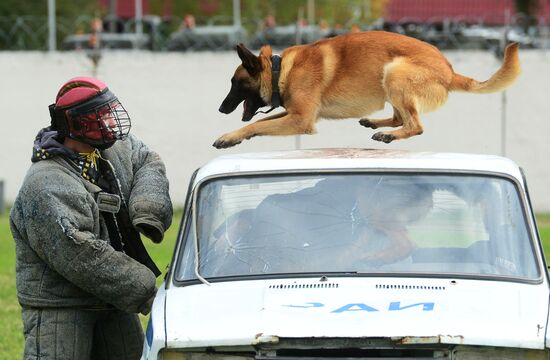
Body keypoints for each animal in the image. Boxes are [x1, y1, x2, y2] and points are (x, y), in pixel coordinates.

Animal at [216, 30, 520, 148]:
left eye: (235, 83)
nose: (220, 109)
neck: (281, 70)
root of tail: (449, 70)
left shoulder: (301, 120)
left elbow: (257, 124)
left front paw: (230, 137)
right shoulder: (296, 115)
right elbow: (259, 123)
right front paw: (233, 136)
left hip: (395, 73)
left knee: (415, 125)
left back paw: (389, 135)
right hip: (391, 82)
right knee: (399, 117)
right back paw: (376, 124)